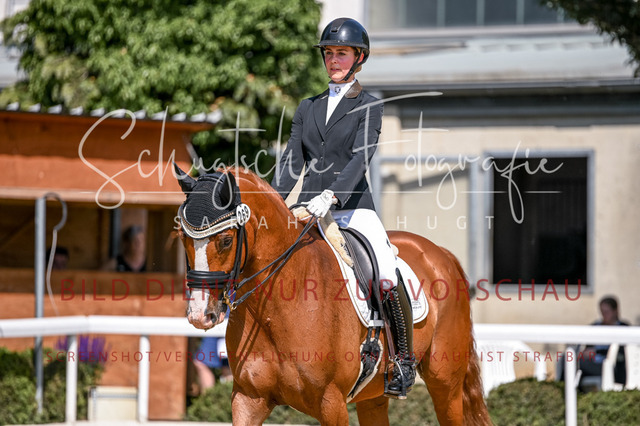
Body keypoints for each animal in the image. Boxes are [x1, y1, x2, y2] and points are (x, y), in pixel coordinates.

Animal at [176, 166, 491, 425]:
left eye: (226, 240)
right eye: (182, 238)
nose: (200, 315)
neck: (276, 309)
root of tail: (440, 253)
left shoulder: (331, 402)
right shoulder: (248, 399)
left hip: (445, 385)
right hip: (374, 396)